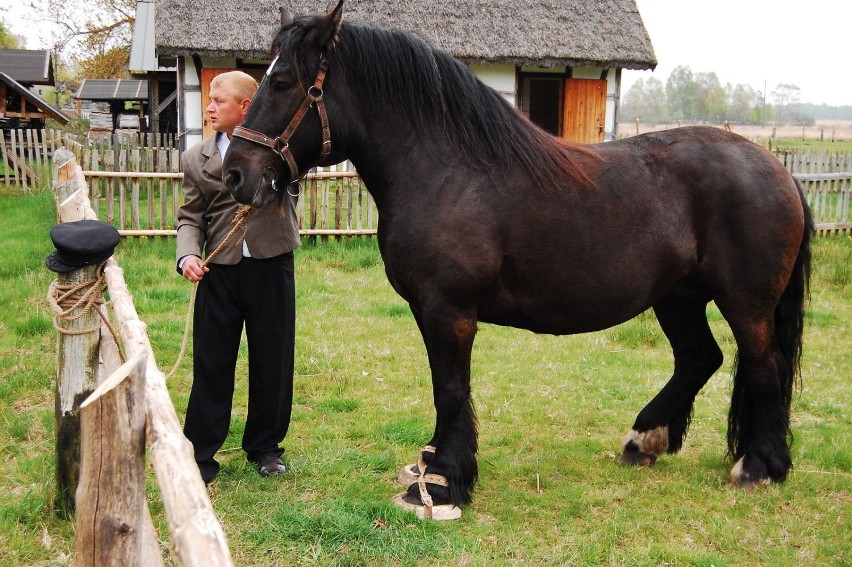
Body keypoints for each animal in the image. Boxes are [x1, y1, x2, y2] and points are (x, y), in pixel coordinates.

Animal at [223, 0, 816, 520]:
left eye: (281, 82)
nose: (234, 174)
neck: (447, 170)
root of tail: (778, 171)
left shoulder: (449, 312)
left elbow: (452, 389)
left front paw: (445, 484)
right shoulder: (426, 310)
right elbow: (442, 387)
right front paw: (432, 463)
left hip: (746, 304)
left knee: (763, 366)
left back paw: (759, 467)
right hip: (679, 297)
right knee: (699, 359)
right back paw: (645, 440)